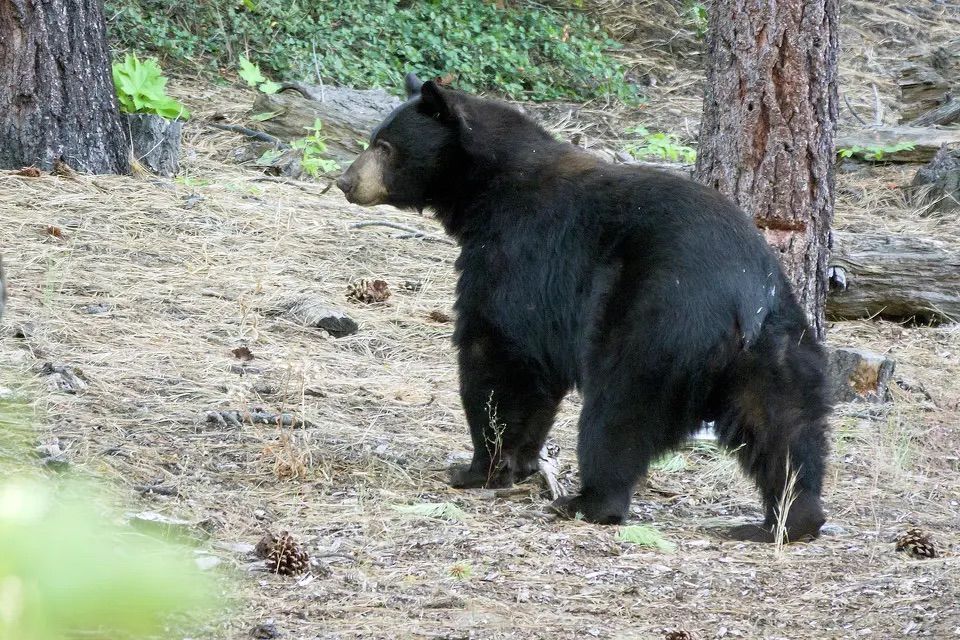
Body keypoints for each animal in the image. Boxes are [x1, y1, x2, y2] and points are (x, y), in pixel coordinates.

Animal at [337, 73, 832, 542]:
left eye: (384, 145)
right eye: (374, 138)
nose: (345, 181)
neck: (488, 187)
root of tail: (743, 296)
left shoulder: (519, 252)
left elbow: (498, 352)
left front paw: (479, 467)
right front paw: (520, 463)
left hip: (656, 324)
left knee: (618, 411)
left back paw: (587, 502)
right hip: (778, 347)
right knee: (785, 427)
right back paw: (788, 519)